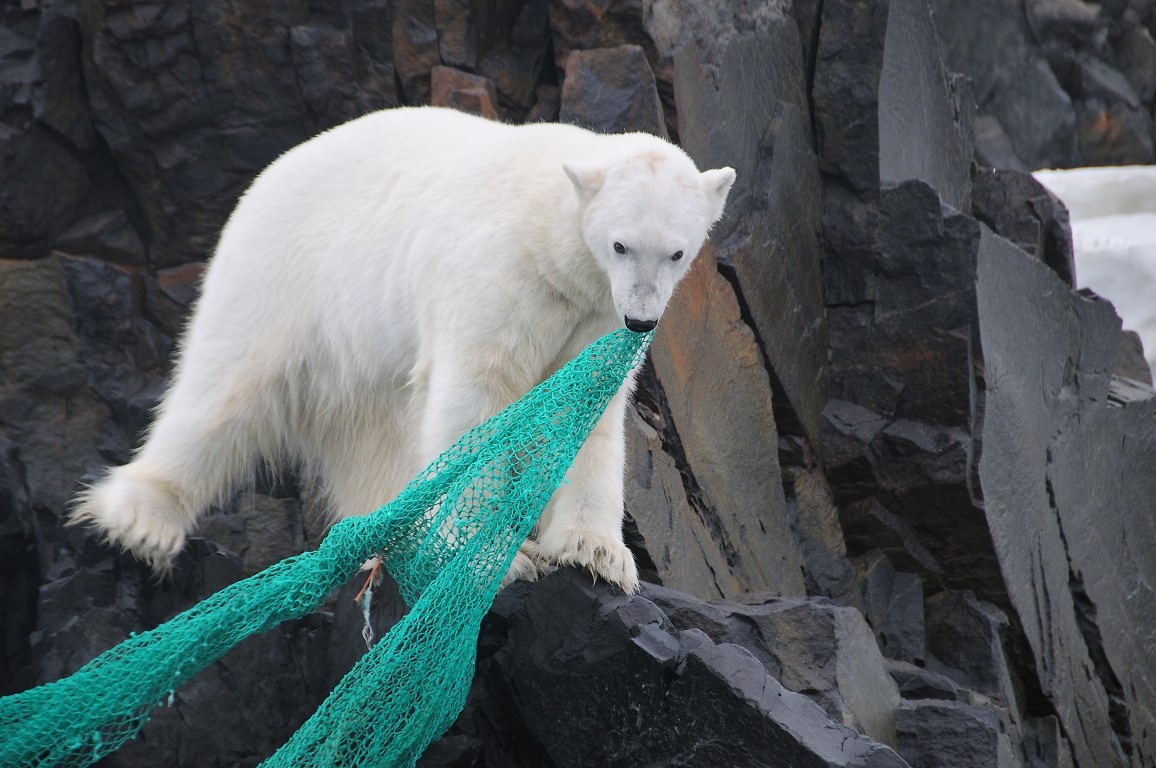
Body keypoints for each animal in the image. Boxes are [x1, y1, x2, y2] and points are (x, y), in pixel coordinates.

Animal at [72, 105, 735, 589]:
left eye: (676, 251)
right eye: (621, 244)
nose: (642, 319)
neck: (551, 239)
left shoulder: (593, 317)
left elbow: (584, 409)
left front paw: (595, 552)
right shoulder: (499, 275)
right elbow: (475, 399)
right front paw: (493, 556)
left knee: (375, 430)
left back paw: (395, 532)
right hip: (284, 273)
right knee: (225, 388)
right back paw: (142, 520)